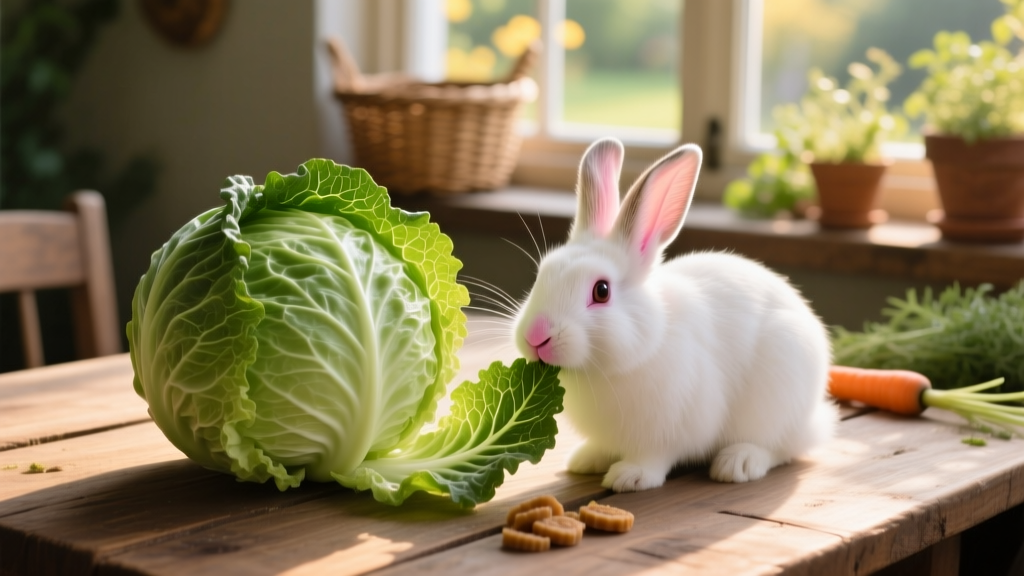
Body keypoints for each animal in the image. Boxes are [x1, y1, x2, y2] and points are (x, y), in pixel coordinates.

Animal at [512, 137, 837, 492]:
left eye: (602, 291)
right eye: (541, 274)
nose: (535, 336)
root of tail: (814, 418)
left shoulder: (670, 429)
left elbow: (654, 457)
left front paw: (630, 476)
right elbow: (603, 447)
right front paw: (586, 460)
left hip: (778, 398)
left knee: (779, 447)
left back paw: (738, 462)